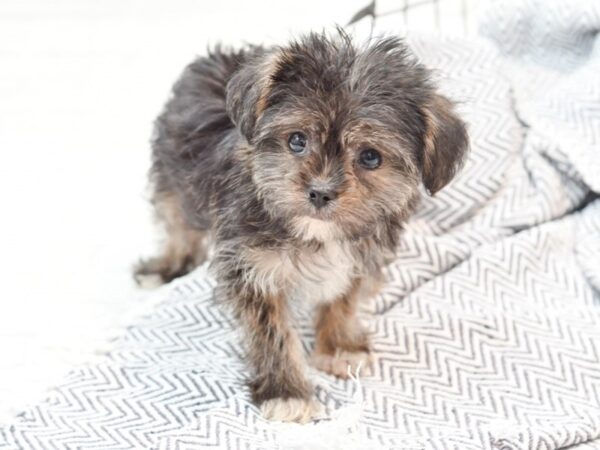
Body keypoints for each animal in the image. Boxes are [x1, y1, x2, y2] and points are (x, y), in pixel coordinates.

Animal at [136, 30, 468, 422]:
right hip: (173, 174)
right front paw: (286, 391)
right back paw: (166, 266)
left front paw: (340, 345)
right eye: (297, 140)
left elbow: (344, 297)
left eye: (370, 157)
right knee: (177, 224)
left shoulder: (360, 255)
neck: (316, 235)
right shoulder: (252, 268)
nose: (321, 192)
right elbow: (272, 331)